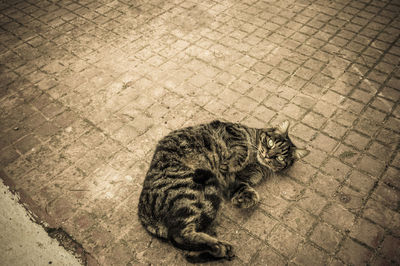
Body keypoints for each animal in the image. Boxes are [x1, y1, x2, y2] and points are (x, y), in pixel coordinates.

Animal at [138, 120, 310, 262]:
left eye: (280, 158)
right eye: (270, 142)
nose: (267, 155)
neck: (256, 162)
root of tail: (144, 215)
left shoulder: (238, 179)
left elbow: (244, 189)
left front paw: (244, 198)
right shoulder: (233, 132)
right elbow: (242, 149)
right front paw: (231, 163)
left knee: (188, 250)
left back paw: (220, 249)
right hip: (189, 193)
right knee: (178, 236)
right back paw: (219, 248)